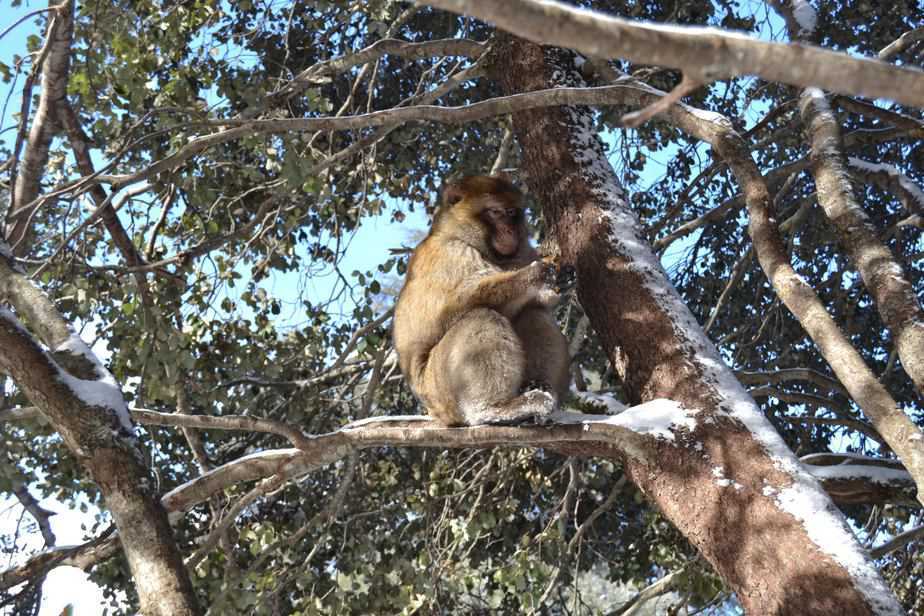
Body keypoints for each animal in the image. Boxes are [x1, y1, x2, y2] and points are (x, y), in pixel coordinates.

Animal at [392, 176, 572, 426]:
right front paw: (538, 275)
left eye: (512, 212)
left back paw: (537, 387)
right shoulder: (451, 254)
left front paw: (561, 282)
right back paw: (494, 409)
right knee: (481, 316)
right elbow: (454, 306)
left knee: (533, 313)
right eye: (495, 212)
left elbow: (533, 306)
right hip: (439, 388)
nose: (509, 229)